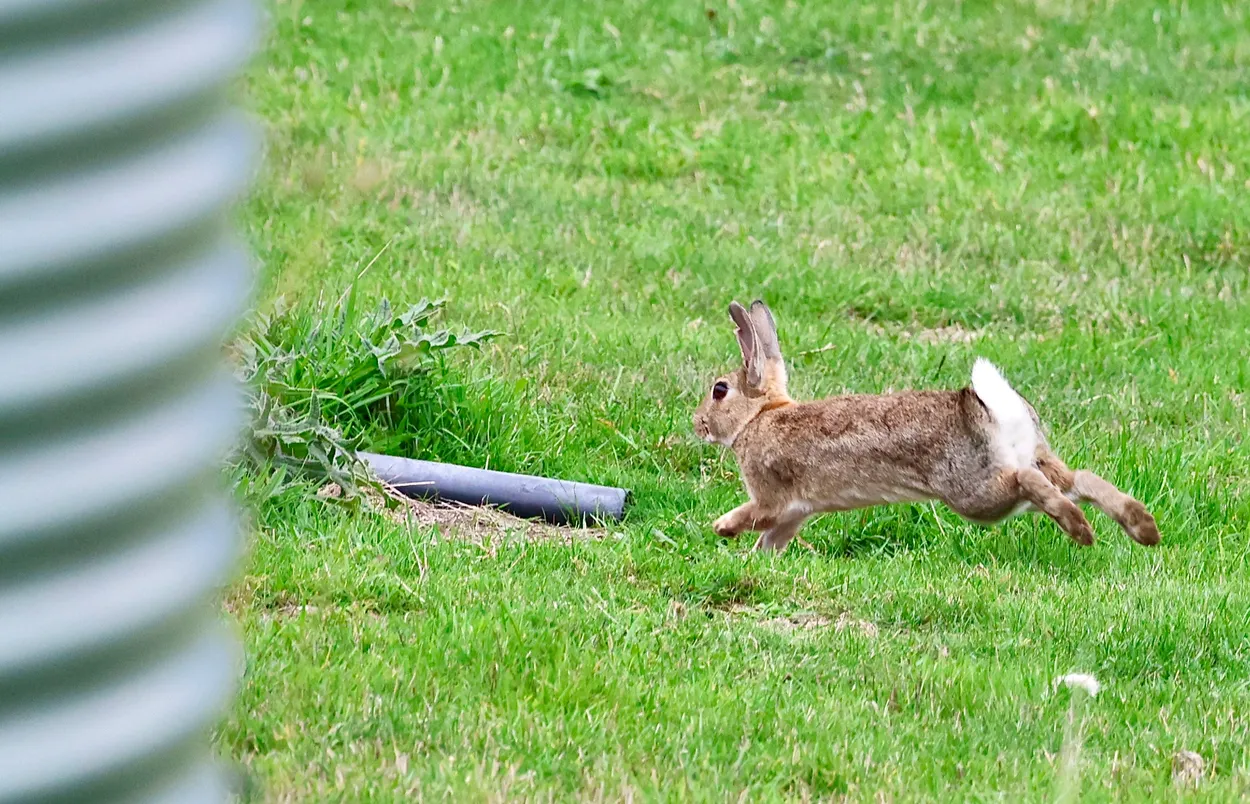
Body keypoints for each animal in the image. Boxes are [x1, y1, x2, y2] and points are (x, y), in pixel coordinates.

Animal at [692, 299, 1160, 552]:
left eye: (719, 390)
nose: (697, 424)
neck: (759, 418)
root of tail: (988, 408)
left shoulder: (773, 496)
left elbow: (757, 515)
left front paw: (721, 527)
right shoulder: (794, 512)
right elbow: (772, 538)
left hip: (975, 493)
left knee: (1027, 483)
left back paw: (1081, 530)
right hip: (1037, 459)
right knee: (1078, 478)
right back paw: (1143, 528)